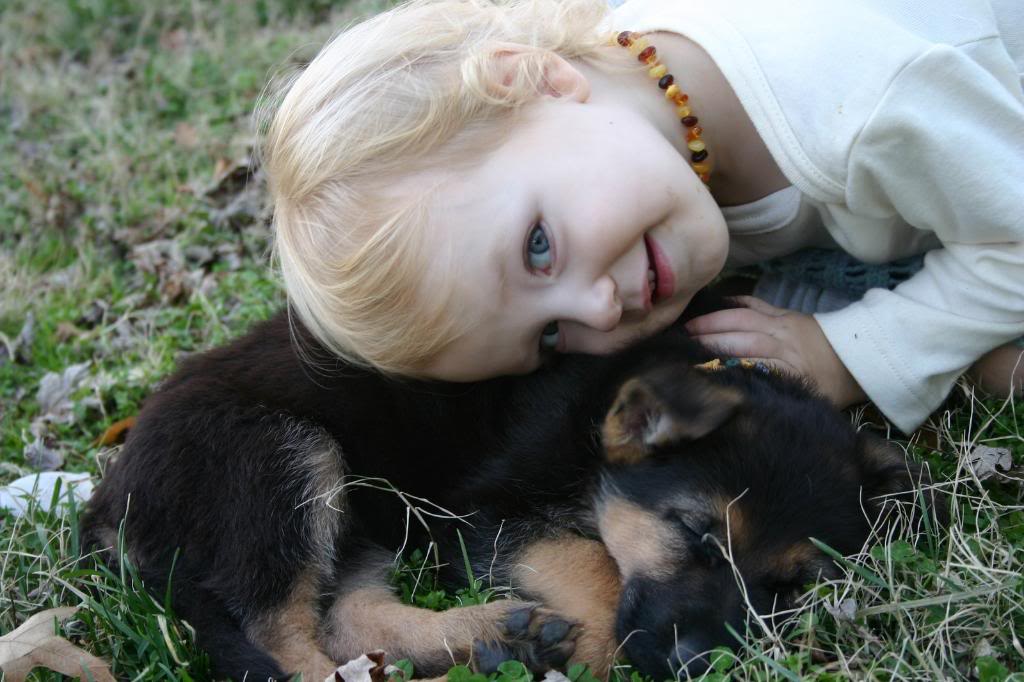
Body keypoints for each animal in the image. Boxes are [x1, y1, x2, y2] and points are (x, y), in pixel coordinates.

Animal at [79, 303, 933, 679]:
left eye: (790, 586)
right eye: (695, 533)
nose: (695, 664)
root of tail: (108, 501)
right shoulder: (482, 512)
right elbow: (591, 566)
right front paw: (597, 655)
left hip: (367, 519)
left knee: (348, 619)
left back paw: (499, 635)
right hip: (284, 459)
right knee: (279, 637)